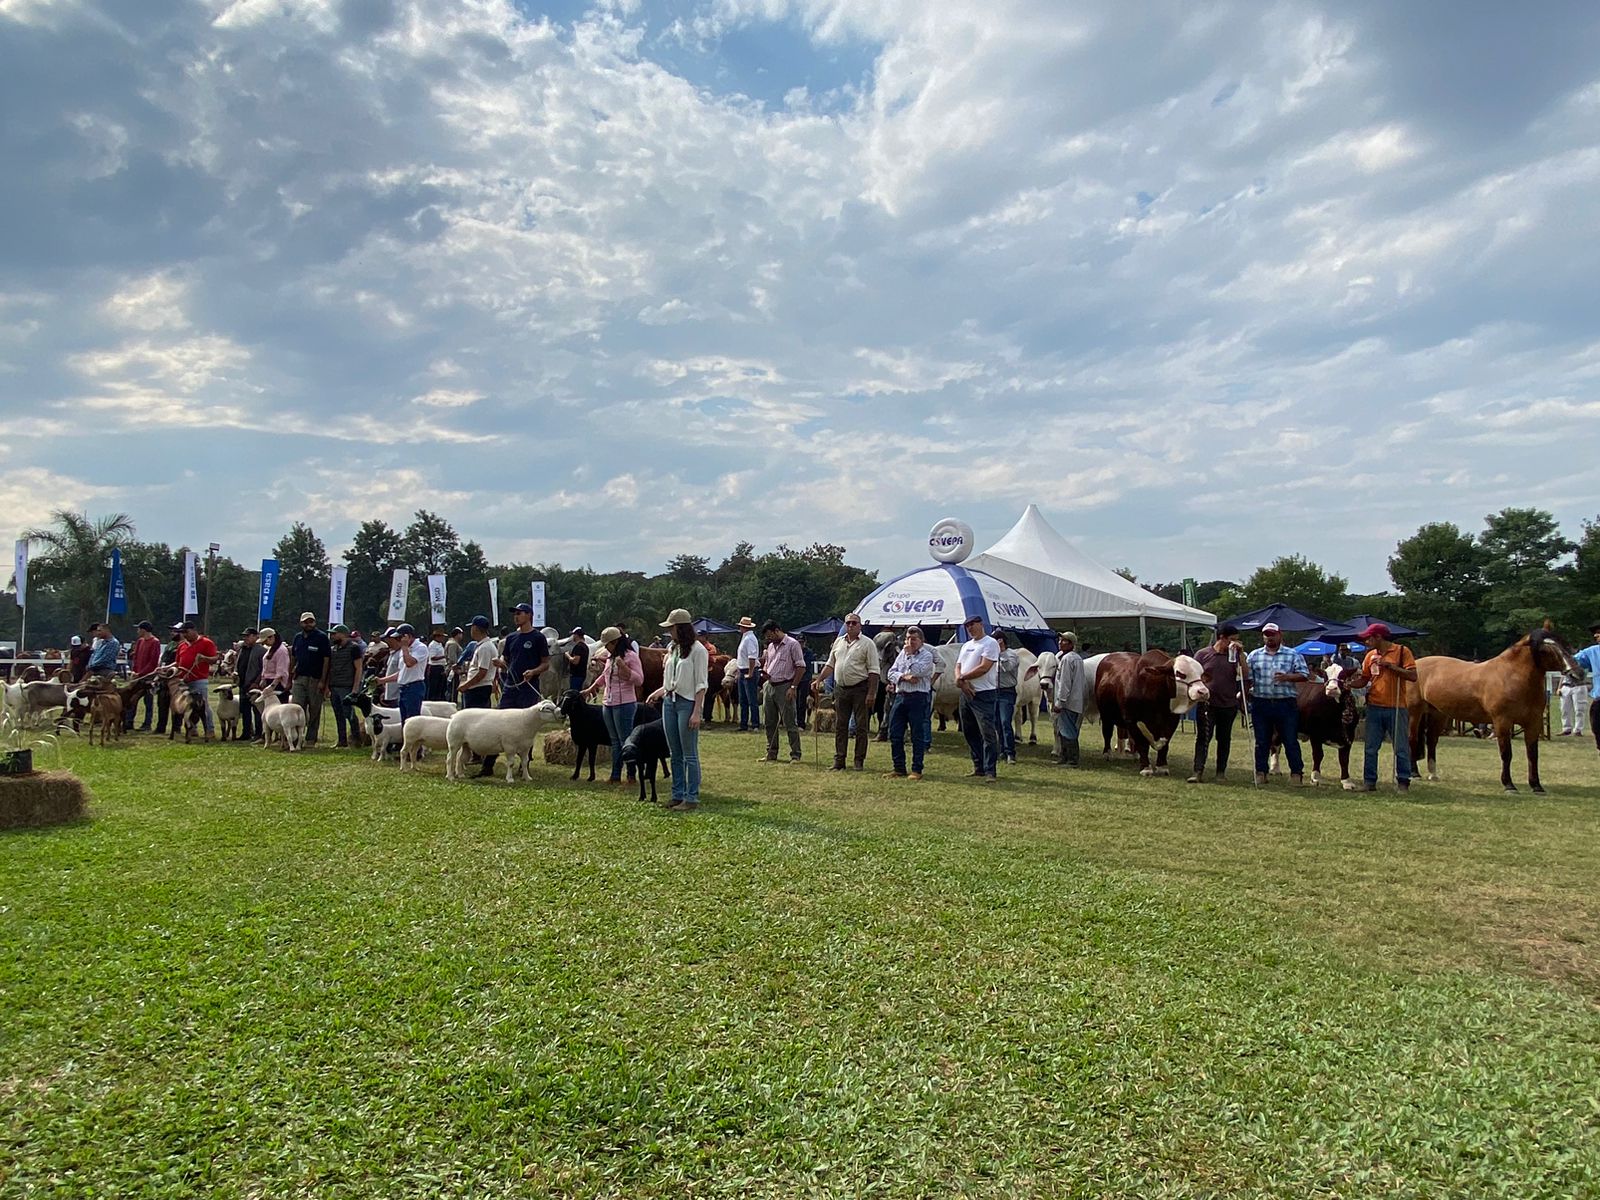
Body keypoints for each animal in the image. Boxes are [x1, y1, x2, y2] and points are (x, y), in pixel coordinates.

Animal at [1408, 630, 1580, 800]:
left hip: (1438, 715)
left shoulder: (1533, 723)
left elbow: (1532, 755)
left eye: (1565, 645)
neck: (1510, 677)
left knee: (1431, 741)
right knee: (1413, 739)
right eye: (1545, 650)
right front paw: (1509, 785)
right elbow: (1506, 754)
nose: (1577, 674)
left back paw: (1433, 774)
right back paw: (1414, 774)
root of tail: (1415, 664)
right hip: (1414, 713)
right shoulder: (1502, 722)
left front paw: (1536, 786)